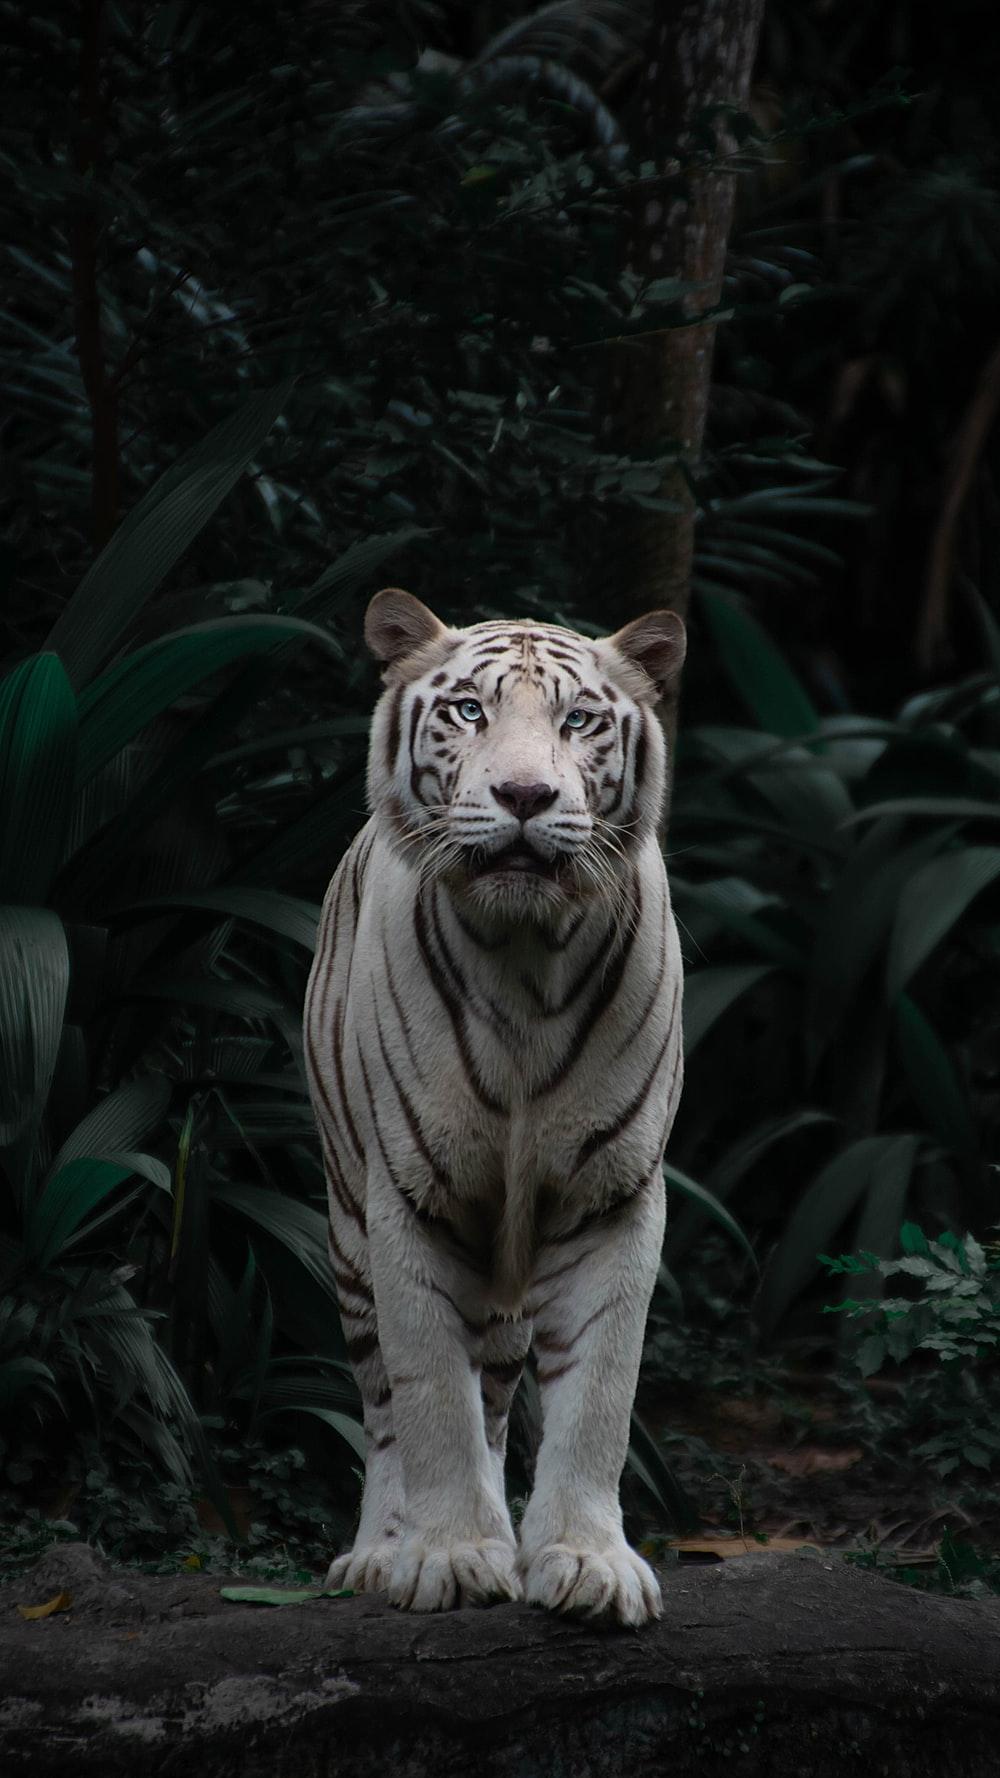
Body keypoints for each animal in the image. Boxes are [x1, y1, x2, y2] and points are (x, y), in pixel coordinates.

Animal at [303, 587, 686, 1626]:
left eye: (579, 720)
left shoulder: (612, 1197)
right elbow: (431, 1394)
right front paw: (449, 1556)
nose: (523, 797)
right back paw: (378, 1553)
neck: (525, 958)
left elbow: (599, 1395)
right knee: (384, 1406)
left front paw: (586, 1562)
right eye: (469, 711)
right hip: (347, 1229)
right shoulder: (408, 1197)